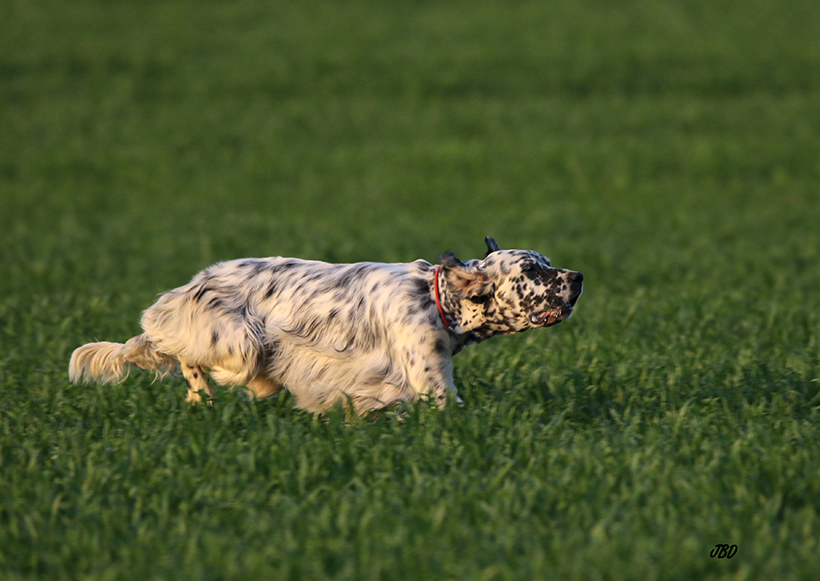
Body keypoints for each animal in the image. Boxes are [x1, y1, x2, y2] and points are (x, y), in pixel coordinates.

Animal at [70, 238, 584, 414]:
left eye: (547, 263)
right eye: (532, 270)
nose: (579, 277)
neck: (436, 300)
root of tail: (187, 289)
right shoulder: (432, 384)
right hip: (239, 344)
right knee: (189, 355)